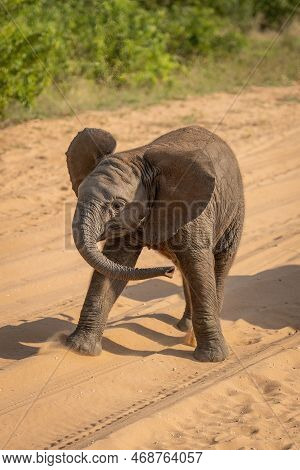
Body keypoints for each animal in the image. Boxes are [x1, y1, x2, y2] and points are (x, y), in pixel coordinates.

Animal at [65, 124, 244, 360]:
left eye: (118, 205)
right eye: (79, 194)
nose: (167, 271)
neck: (137, 157)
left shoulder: (193, 210)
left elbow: (198, 266)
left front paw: (212, 359)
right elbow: (114, 266)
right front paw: (79, 349)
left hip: (235, 209)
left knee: (219, 264)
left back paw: (191, 334)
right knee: (185, 269)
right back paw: (184, 328)